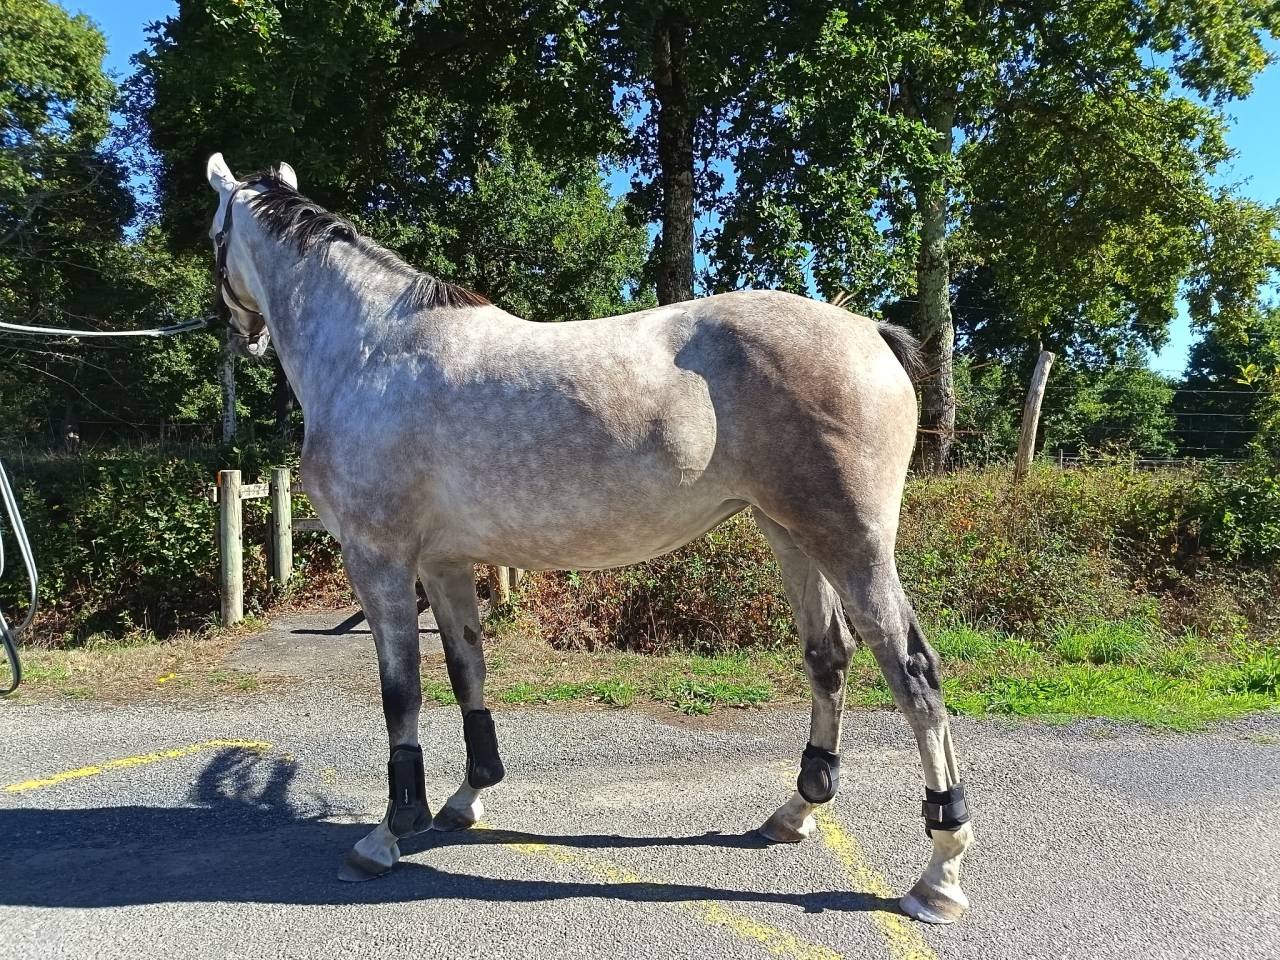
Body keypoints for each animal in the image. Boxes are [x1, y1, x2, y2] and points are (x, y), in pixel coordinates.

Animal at [204, 152, 974, 924]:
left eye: (212, 235)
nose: (240, 334)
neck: (370, 352)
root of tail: (869, 333)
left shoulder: (379, 560)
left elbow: (403, 693)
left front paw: (388, 834)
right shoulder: (444, 563)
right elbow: (466, 671)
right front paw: (468, 795)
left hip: (851, 544)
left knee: (913, 673)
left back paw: (940, 870)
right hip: (789, 535)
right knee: (829, 658)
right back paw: (795, 812)